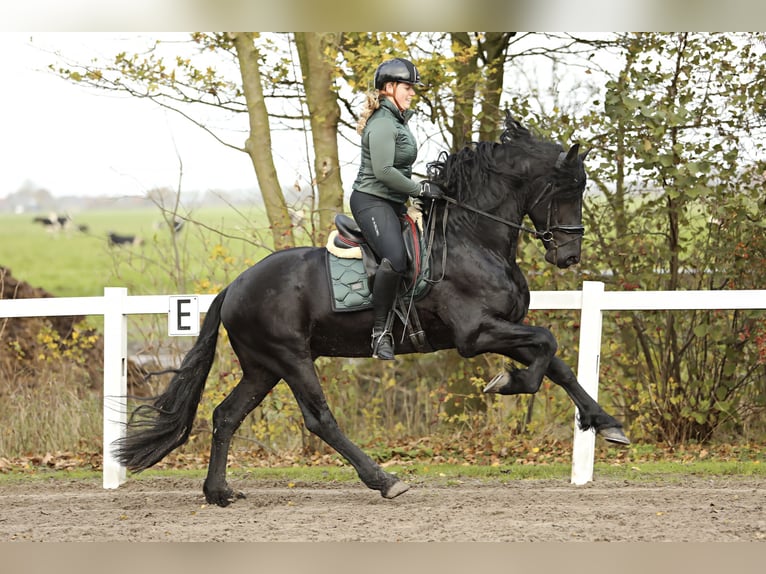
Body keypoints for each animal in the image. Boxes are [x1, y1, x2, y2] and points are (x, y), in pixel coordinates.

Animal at [115, 116, 632, 508]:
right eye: (567, 189)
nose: (568, 256)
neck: (472, 238)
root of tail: (236, 285)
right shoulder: (477, 334)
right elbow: (547, 344)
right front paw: (508, 383)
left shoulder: (504, 328)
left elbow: (559, 364)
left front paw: (606, 423)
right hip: (290, 359)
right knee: (319, 419)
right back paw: (385, 480)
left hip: (263, 367)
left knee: (226, 416)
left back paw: (218, 492)